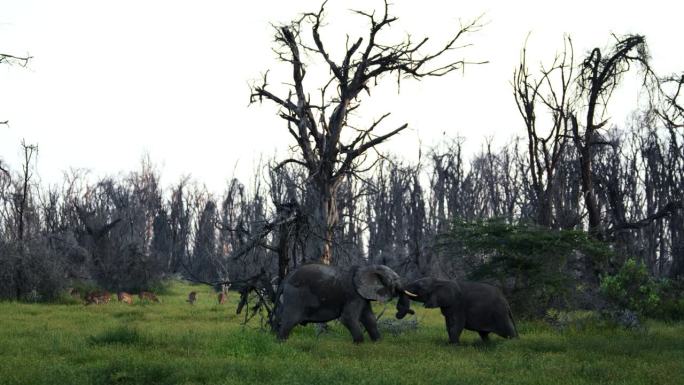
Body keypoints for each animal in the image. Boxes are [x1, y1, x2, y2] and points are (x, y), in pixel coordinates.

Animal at [272, 262, 416, 340]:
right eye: (395, 280)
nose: (412, 312)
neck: (367, 267)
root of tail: (285, 279)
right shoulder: (353, 294)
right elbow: (347, 318)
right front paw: (359, 344)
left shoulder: (362, 296)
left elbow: (369, 319)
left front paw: (378, 342)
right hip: (295, 296)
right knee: (289, 321)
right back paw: (281, 343)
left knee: (279, 319)